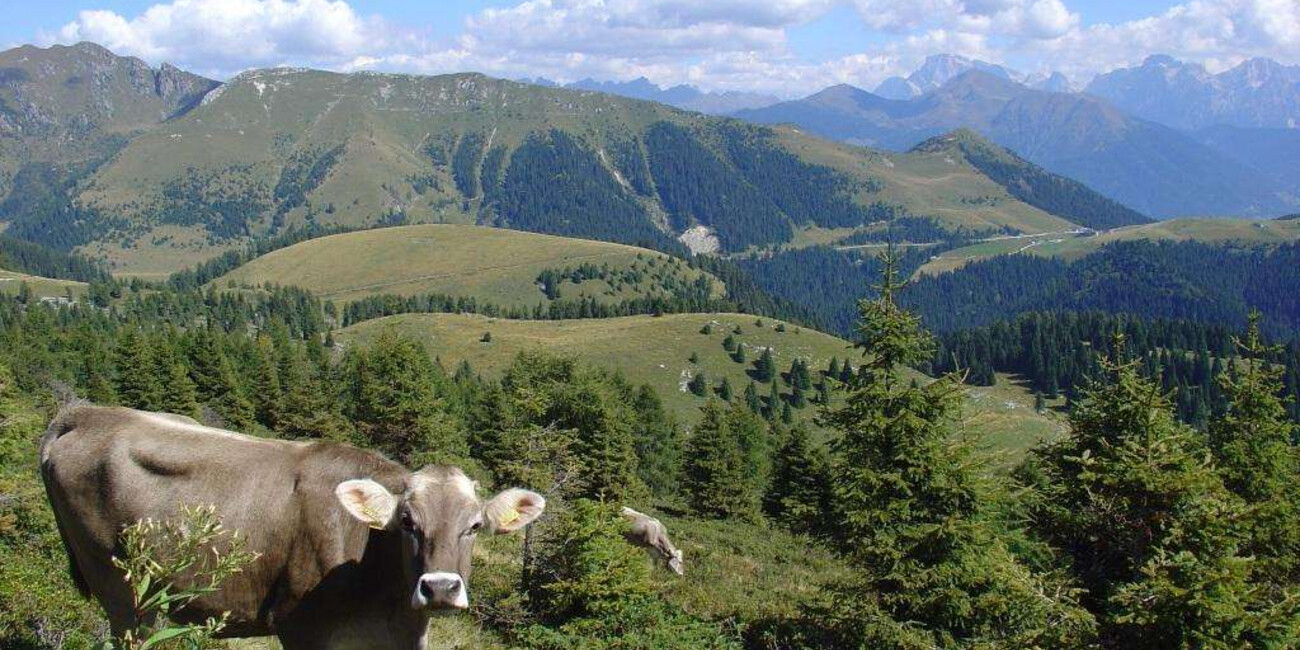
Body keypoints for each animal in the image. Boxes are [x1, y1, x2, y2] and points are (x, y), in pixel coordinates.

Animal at [38, 403, 540, 647]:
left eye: (474, 525)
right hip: (121, 587)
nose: (438, 588)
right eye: (407, 523)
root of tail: (86, 414)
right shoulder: (300, 625)